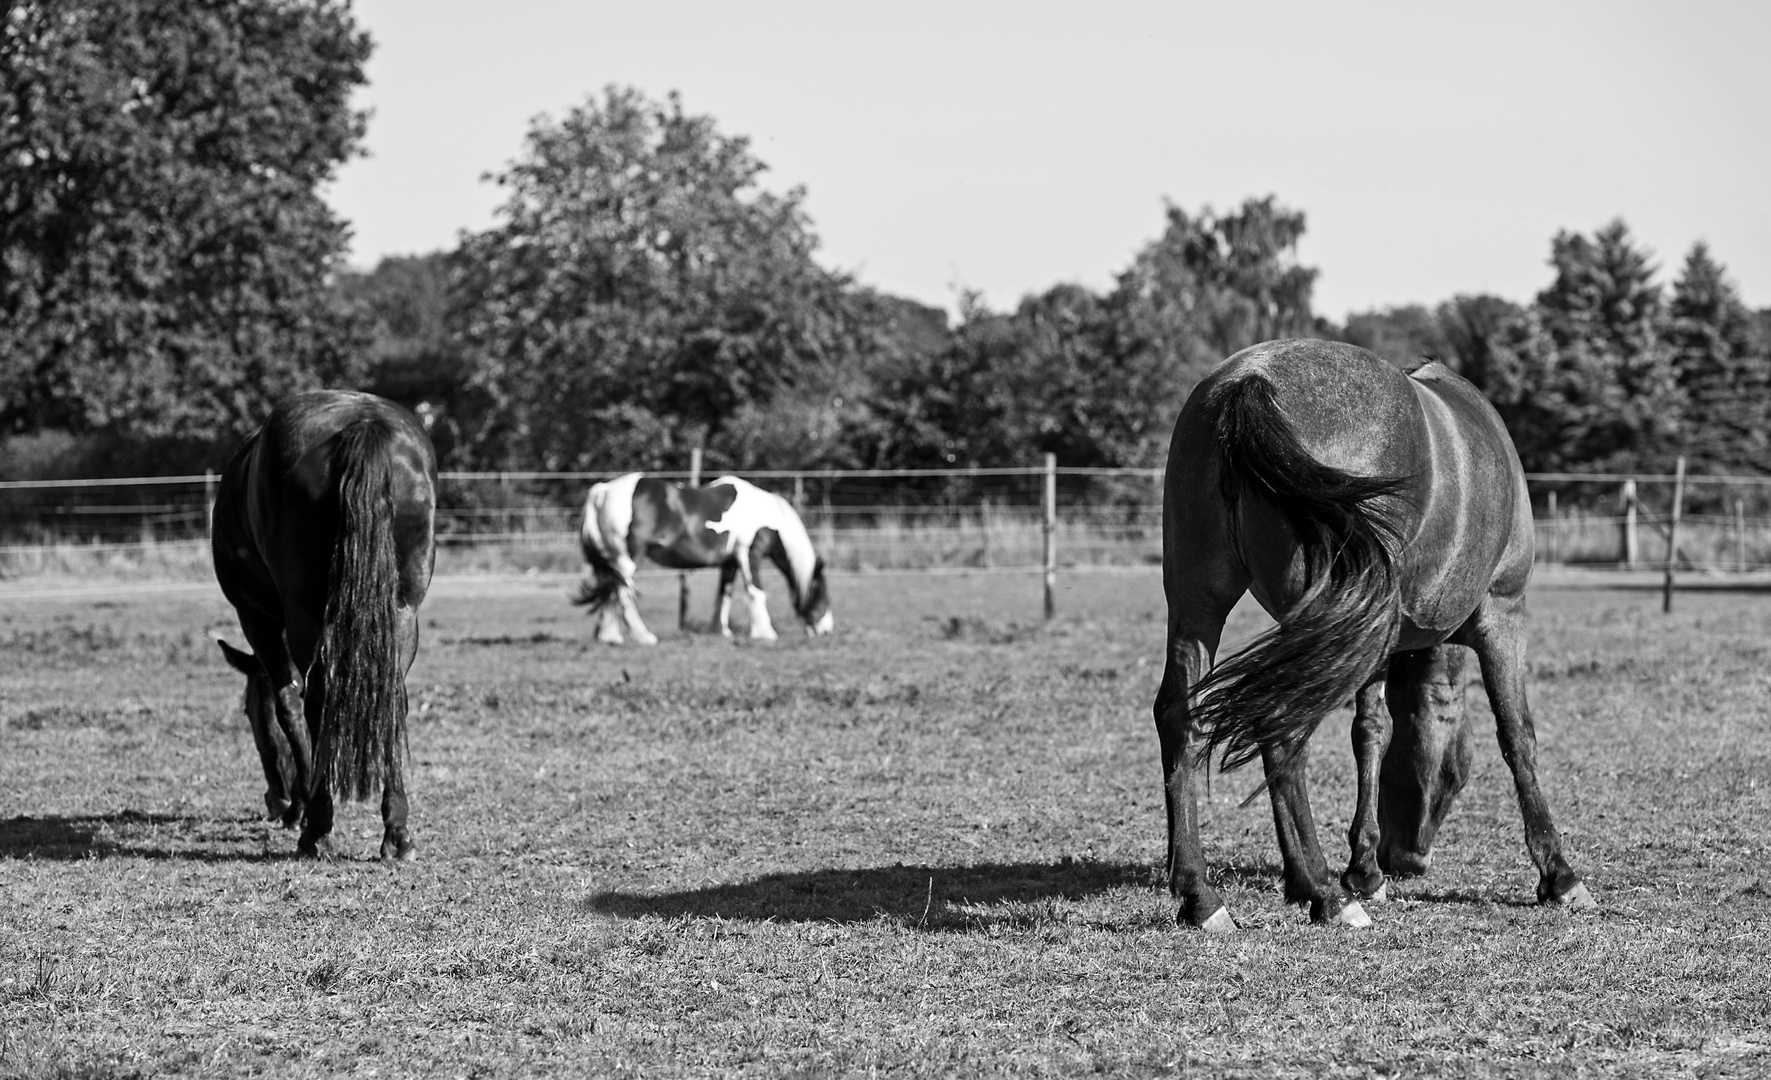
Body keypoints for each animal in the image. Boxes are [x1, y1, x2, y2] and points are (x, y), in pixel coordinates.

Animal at [211, 389, 439, 856]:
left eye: (247, 711)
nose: (275, 800)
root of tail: (362, 423)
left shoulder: (256, 618)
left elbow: (288, 705)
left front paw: (300, 809)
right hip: (403, 610)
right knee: (394, 699)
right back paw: (397, 832)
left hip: (303, 612)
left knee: (317, 698)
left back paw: (316, 829)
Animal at [573, 467, 835, 637]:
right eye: (821, 594)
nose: (826, 629)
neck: (768, 516)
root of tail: (602, 491)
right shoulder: (749, 554)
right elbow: (755, 591)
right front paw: (765, 633)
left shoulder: (730, 562)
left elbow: (724, 595)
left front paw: (720, 631)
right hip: (626, 560)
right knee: (623, 593)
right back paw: (642, 636)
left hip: (610, 562)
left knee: (609, 591)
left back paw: (610, 636)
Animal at [1154, 336, 1600, 927]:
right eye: (1457, 773)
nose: (1407, 859)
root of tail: (1249, 383)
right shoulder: (1504, 614)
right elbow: (1517, 736)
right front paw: (1560, 875)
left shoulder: (1375, 640)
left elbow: (1369, 734)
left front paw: (1364, 871)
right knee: (1280, 731)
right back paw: (1323, 893)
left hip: (1202, 606)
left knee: (1180, 717)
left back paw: (1202, 895)